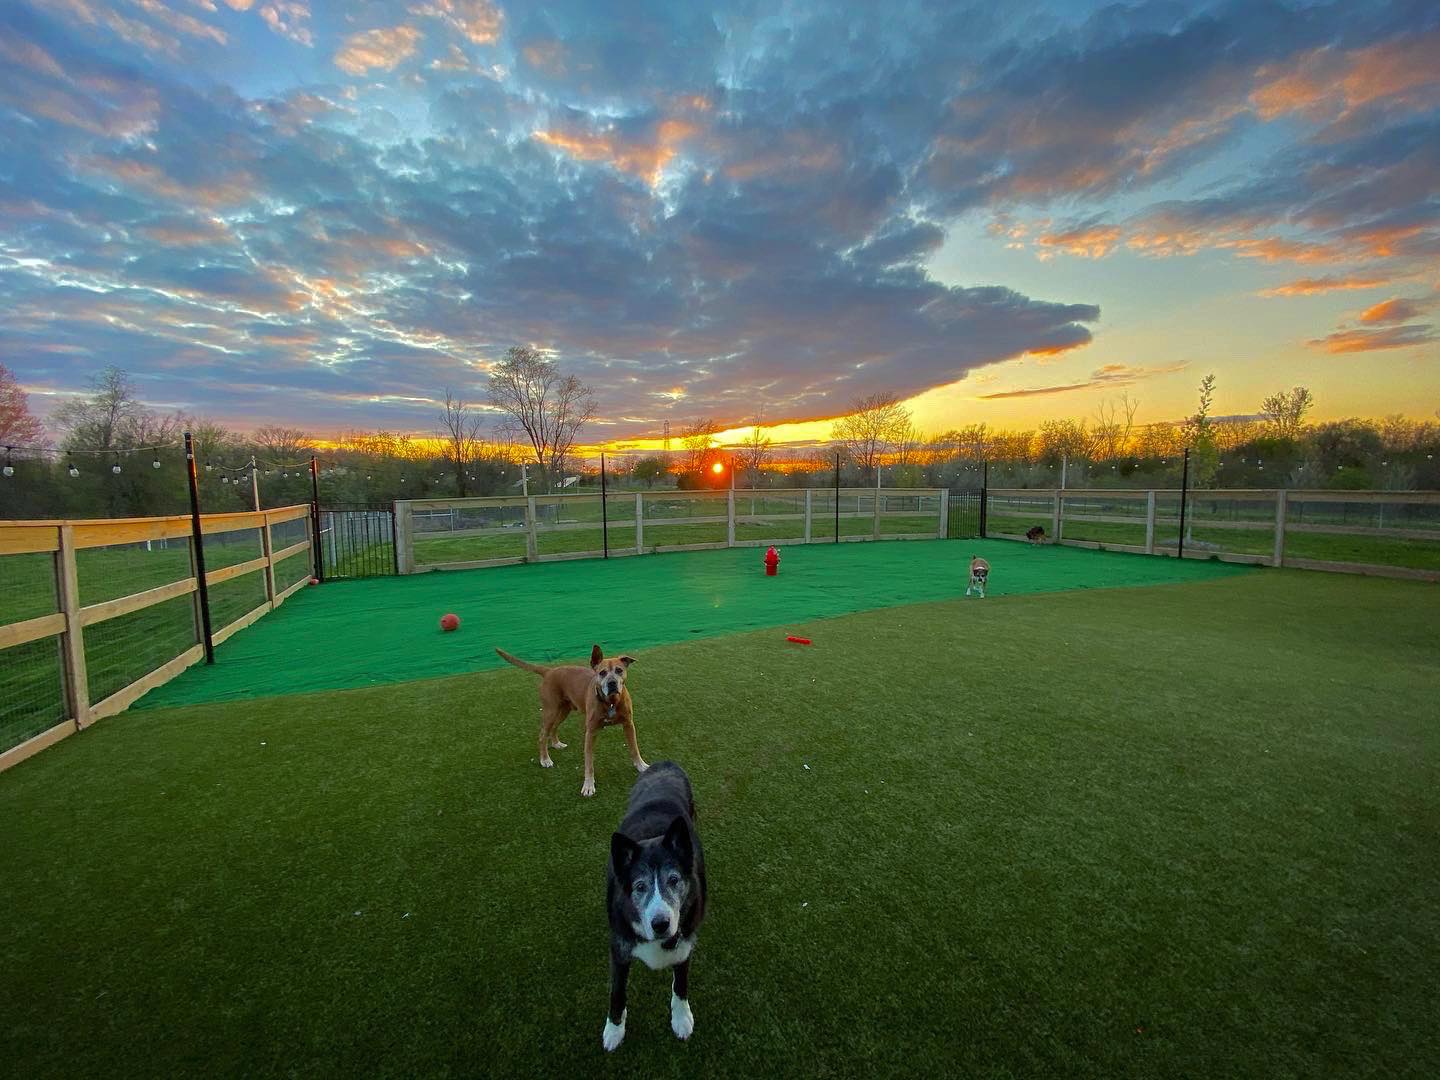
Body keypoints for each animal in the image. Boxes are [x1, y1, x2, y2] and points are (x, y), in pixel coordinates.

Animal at [498, 648, 650, 800]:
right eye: (602, 673)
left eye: (619, 670)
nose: (612, 683)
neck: (611, 702)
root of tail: (549, 671)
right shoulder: (590, 732)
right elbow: (589, 762)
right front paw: (588, 785)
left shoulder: (629, 724)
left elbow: (634, 748)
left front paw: (641, 765)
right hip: (550, 711)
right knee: (542, 735)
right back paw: (545, 759)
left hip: (564, 710)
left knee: (554, 727)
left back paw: (556, 743)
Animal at [601, 766, 702, 1054]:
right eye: (640, 886)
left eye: (674, 880)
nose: (660, 924)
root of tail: (665, 762)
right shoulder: (619, 948)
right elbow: (617, 991)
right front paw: (614, 1030)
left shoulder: (685, 944)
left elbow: (681, 984)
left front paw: (681, 1018)